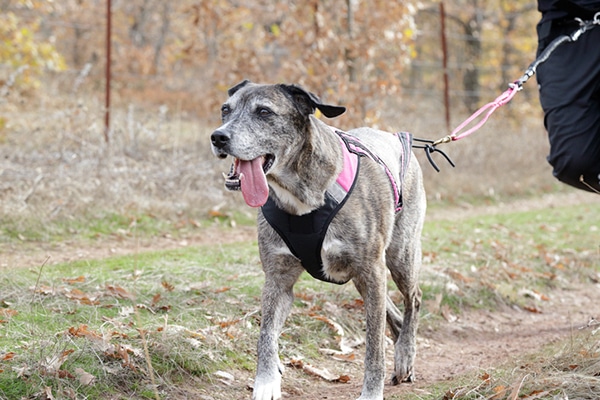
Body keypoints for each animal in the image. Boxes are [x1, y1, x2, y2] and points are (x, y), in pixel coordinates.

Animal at [211, 81, 426, 400]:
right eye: (226, 109)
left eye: (264, 112)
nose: (218, 137)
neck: (300, 196)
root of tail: (396, 137)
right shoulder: (278, 279)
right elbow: (266, 334)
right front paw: (266, 382)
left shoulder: (372, 269)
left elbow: (374, 347)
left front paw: (371, 392)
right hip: (366, 275)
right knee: (392, 309)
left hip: (400, 256)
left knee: (413, 300)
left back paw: (404, 355)